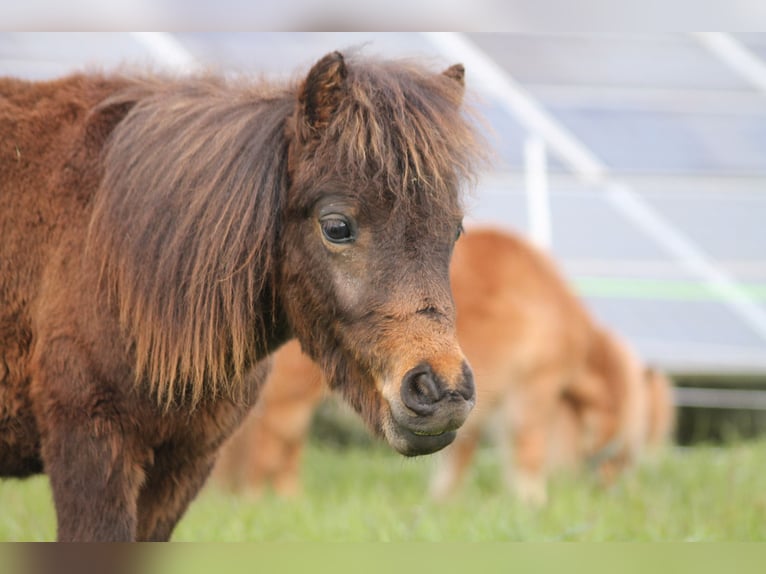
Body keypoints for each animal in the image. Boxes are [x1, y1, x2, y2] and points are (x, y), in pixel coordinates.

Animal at [213, 228, 676, 504]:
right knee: (268, 451)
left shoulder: (464, 399)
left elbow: (458, 458)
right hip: (290, 398)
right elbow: (527, 453)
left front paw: (441, 507)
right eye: (633, 447)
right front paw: (532, 507)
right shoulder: (530, 393)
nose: (620, 497)